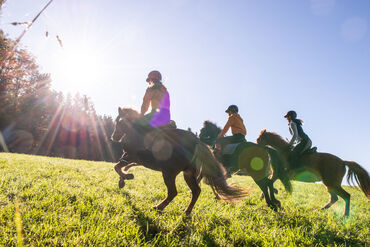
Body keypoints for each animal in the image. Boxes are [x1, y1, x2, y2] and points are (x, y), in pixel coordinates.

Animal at [110, 107, 249, 215]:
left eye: (119, 122)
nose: (113, 137)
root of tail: (197, 143)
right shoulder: (135, 159)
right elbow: (123, 166)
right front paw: (123, 180)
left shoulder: (130, 156)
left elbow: (117, 167)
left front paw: (127, 177)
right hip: (188, 174)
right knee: (196, 191)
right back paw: (187, 212)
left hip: (169, 172)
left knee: (173, 192)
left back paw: (158, 207)